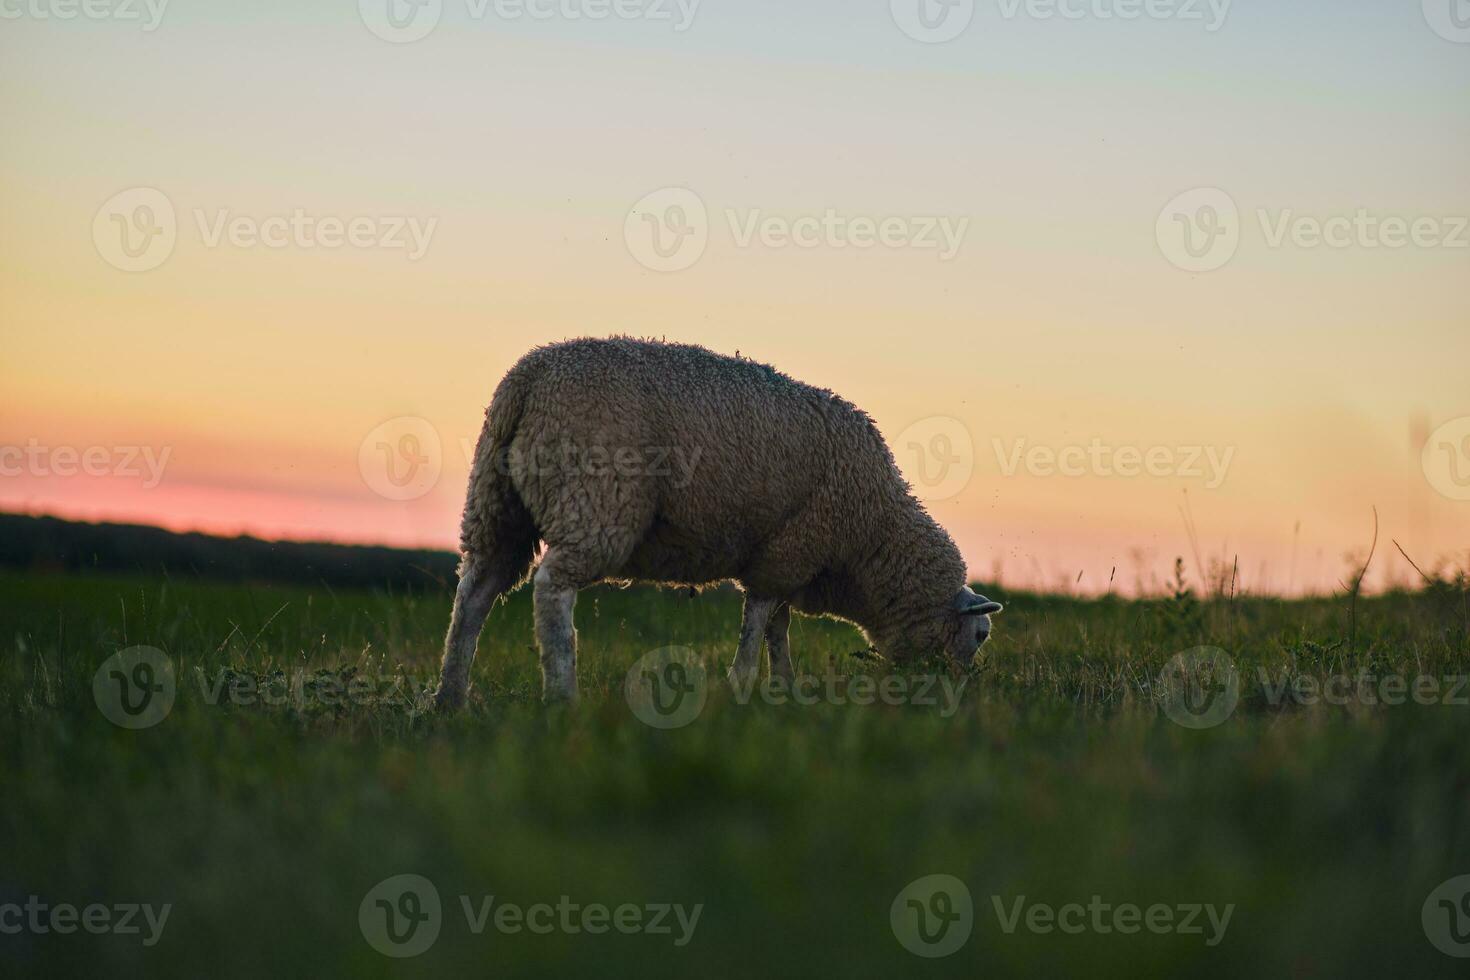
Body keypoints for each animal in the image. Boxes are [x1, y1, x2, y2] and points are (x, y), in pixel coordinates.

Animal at [426, 337, 999, 705]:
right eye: (980, 634)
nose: (958, 690)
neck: (872, 541)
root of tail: (528, 380)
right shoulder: (790, 549)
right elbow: (758, 623)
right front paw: (742, 684)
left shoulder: (786, 557)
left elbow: (777, 630)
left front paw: (785, 688)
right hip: (594, 500)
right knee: (551, 590)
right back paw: (561, 694)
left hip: (497, 506)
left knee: (474, 595)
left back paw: (451, 696)